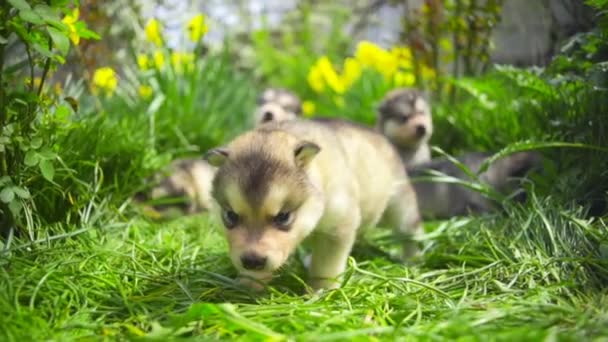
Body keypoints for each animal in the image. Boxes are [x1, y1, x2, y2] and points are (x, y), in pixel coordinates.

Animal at [204, 117, 422, 292]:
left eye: (283, 217)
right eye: (231, 216)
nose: (252, 261)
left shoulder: (337, 227)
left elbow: (325, 267)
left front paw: (320, 291)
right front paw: (249, 285)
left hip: (400, 206)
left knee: (409, 231)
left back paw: (413, 259)